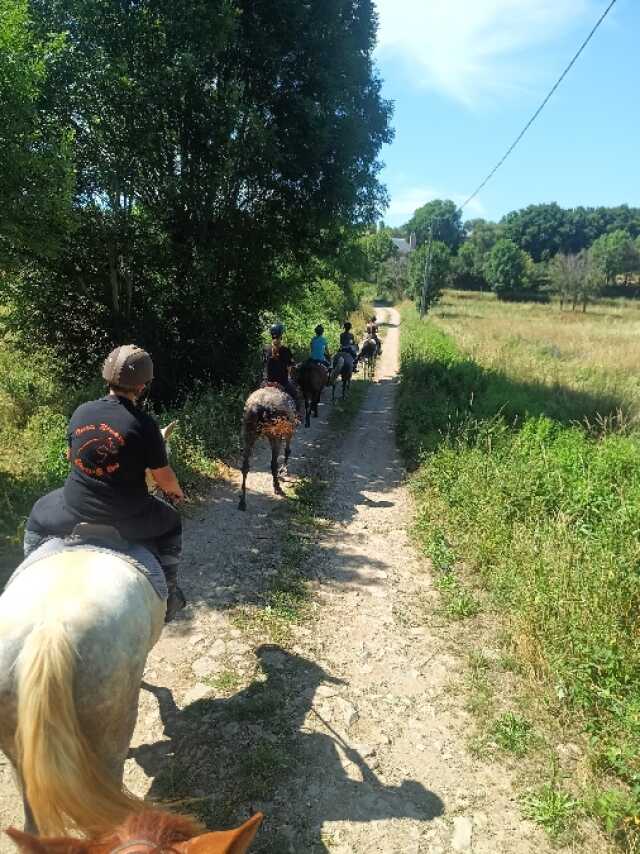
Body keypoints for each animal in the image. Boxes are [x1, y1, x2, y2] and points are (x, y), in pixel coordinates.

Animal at [238, 384, 298, 512]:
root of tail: (260, 407)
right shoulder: (289, 430)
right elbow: (287, 451)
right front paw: (284, 470)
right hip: (275, 436)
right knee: (274, 463)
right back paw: (277, 487)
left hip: (248, 433)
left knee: (245, 467)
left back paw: (242, 501)